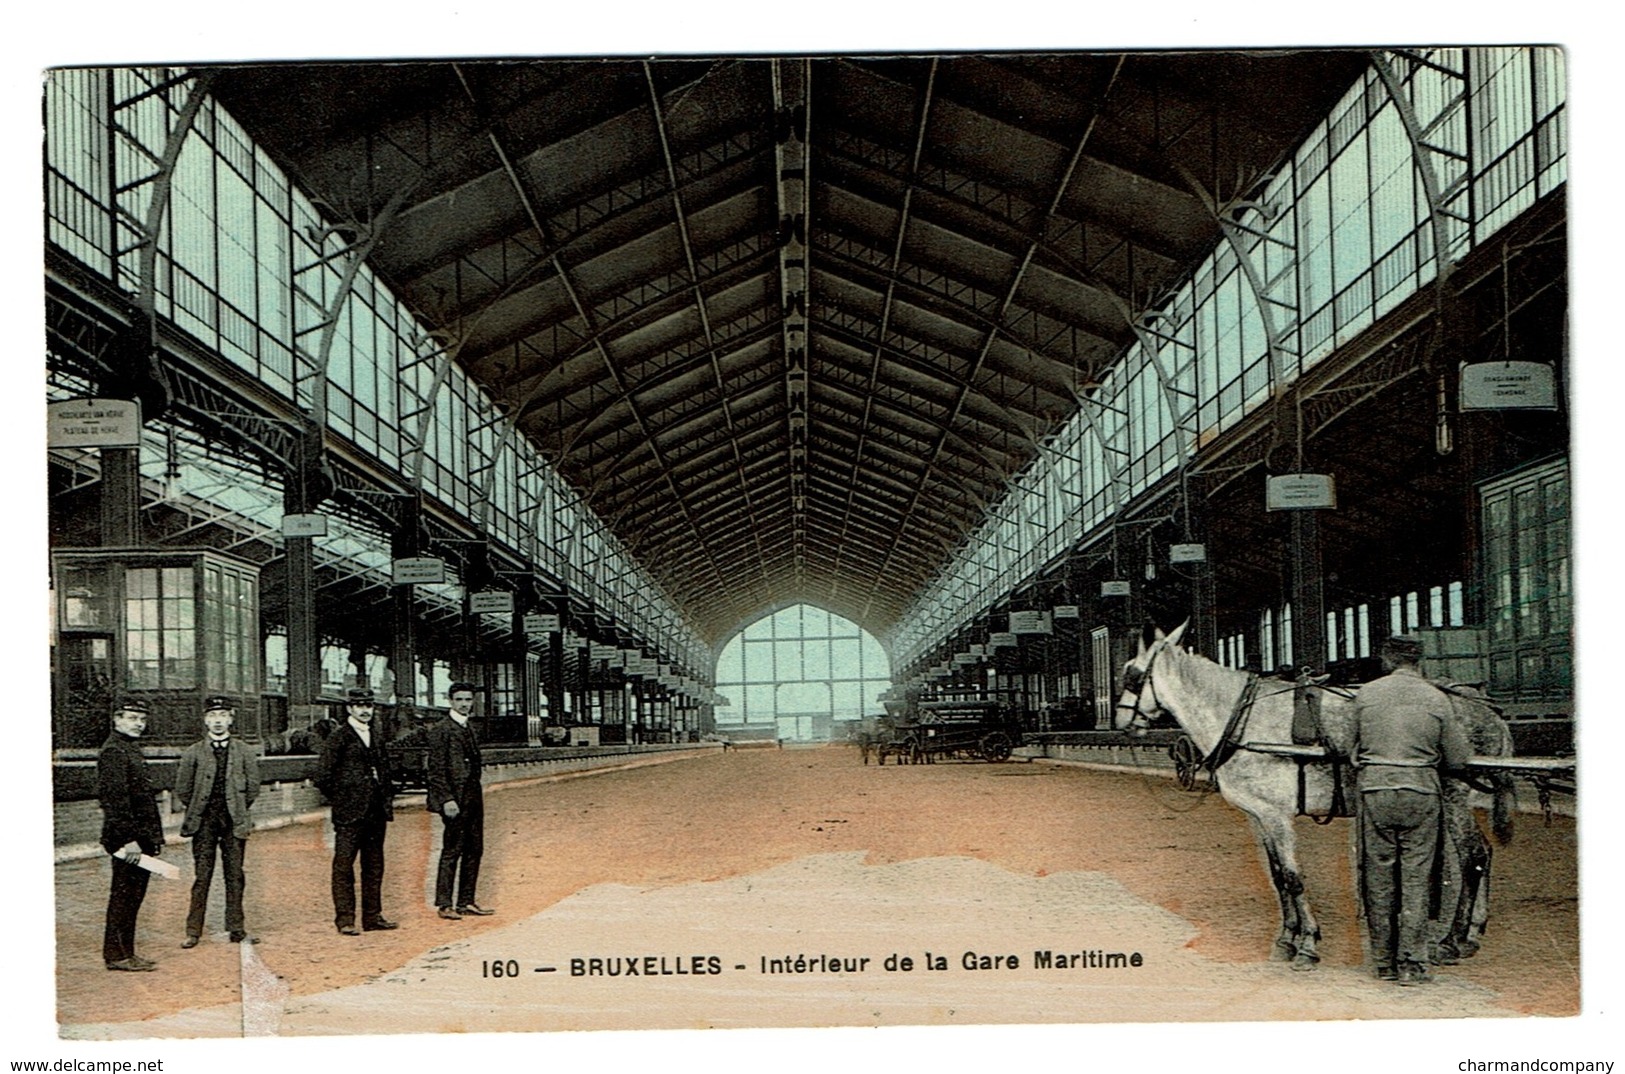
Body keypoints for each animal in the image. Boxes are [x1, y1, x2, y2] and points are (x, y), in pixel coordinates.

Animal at [1118, 623, 1508, 968]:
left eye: (1132, 675)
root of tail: (1483, 706)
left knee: (1472, 857)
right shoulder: (1258, 816)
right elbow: (1278, 878)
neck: (1242, 719)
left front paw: (1307, 943)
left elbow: (1293, 877)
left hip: (1454, 794)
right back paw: (1472, 934)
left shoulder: (1277, 815)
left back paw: (1452, 940)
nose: (1121, 722)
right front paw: (1286, 938)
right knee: (1484, 853)